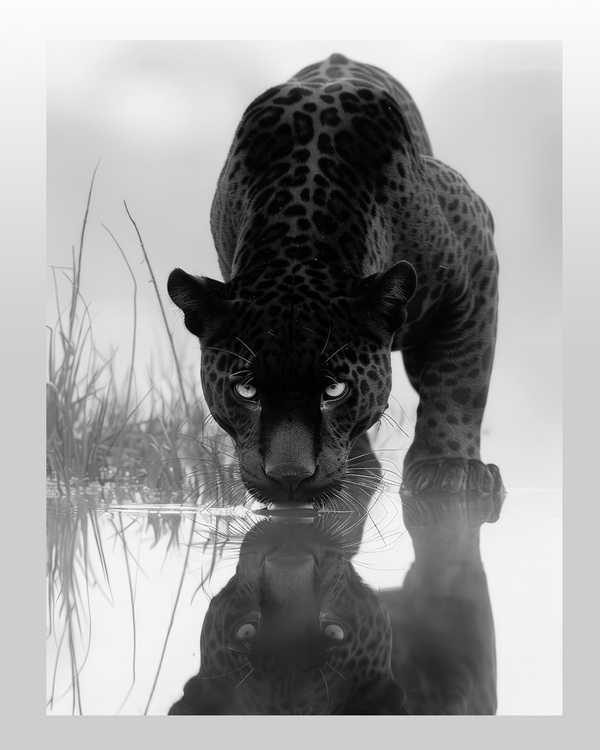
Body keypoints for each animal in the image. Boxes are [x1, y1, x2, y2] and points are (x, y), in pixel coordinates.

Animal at [168, 53, 504, 507]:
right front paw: (361, 474)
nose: (289, 476)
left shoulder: (473, 266)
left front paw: (449, 469)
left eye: (335, 391)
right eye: (246, 392)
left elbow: (461, 374)